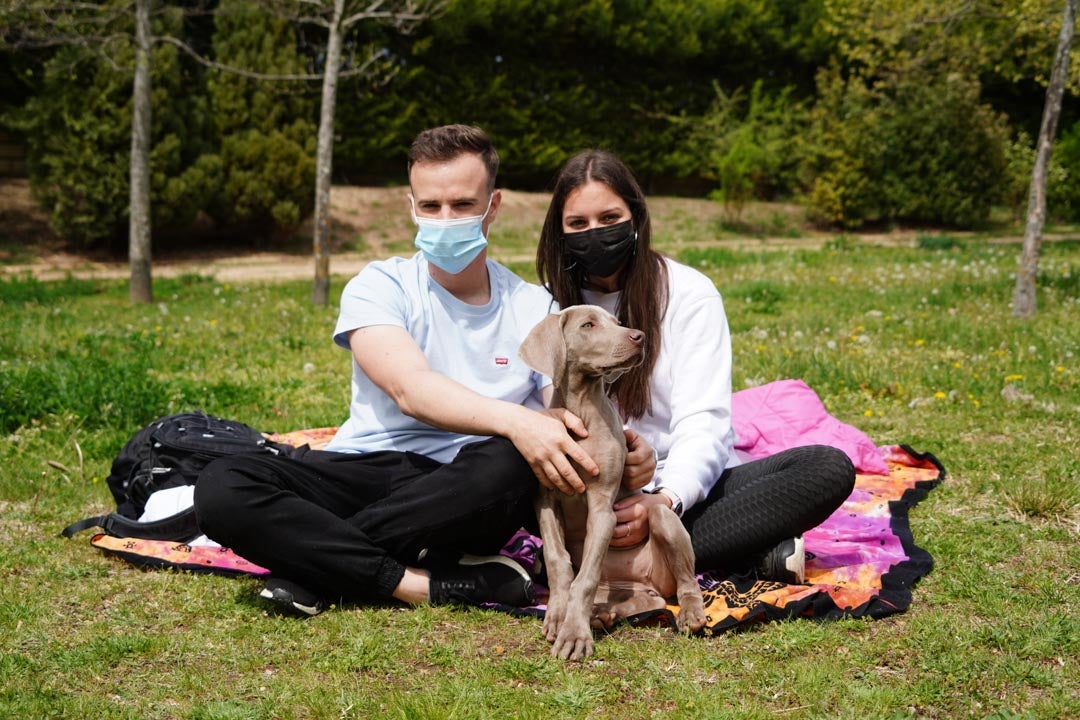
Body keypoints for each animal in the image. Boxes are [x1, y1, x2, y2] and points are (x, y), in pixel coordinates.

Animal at [516, 304, 704, 660]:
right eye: (588, 325)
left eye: (617, 322)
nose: (639, 336)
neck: (582, 409)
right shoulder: (545, 499)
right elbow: (558, 561)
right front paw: (558, 614)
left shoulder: (602, 507)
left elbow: (584, 579)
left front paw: (574, 634)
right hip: (627, 588)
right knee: (645, 601)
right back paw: (603, 614)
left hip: (663, 522)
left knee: (685, 582)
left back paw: (690, 613)